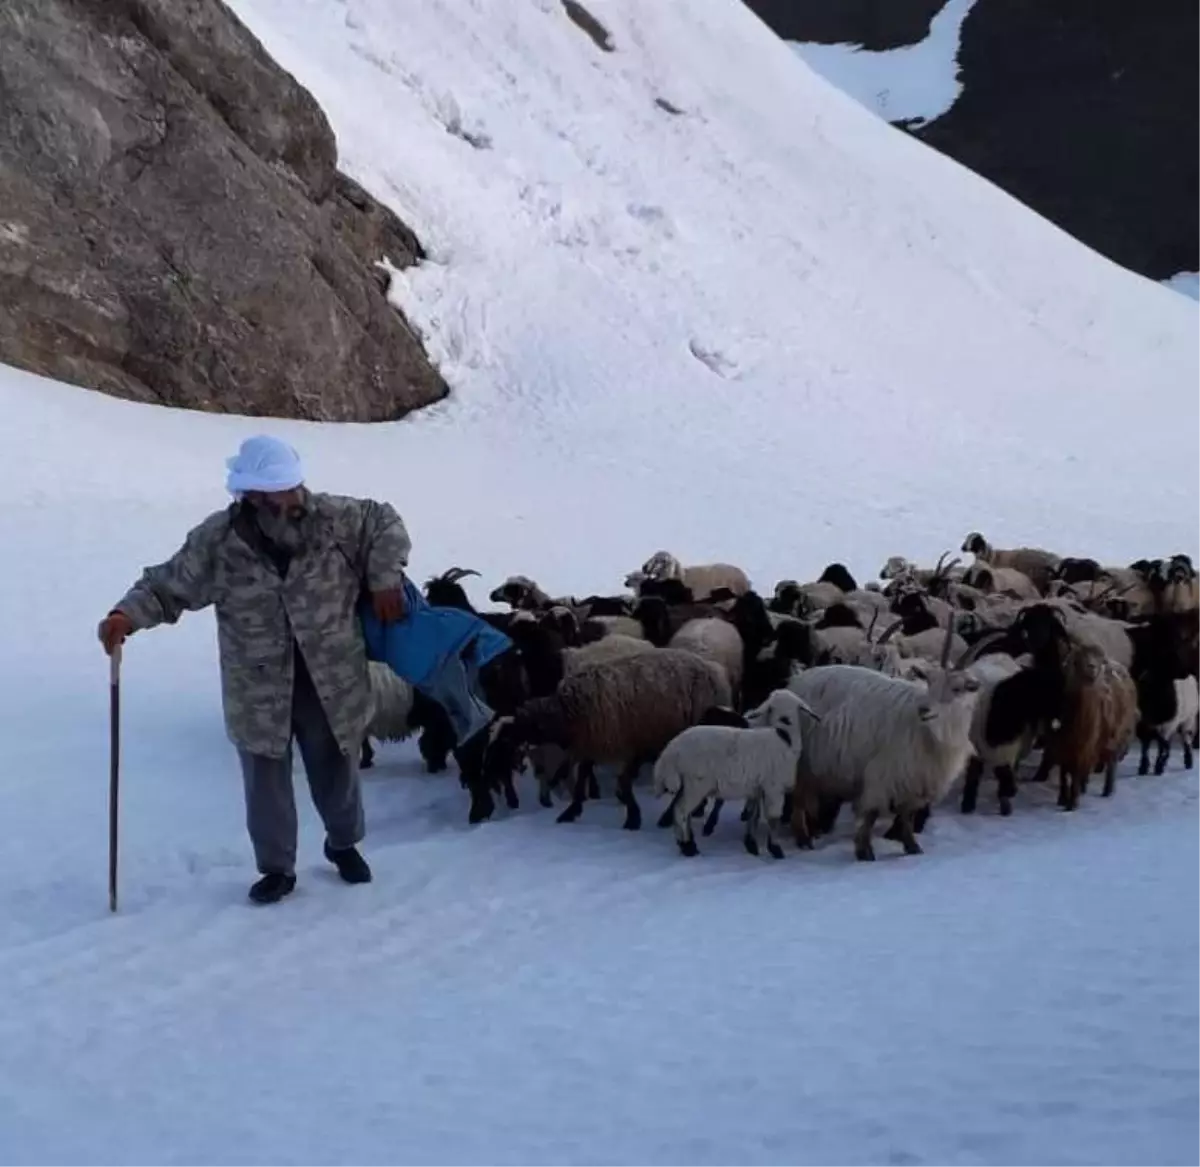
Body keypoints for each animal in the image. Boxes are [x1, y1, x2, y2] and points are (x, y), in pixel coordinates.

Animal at [480, 648, 729, 830]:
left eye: (504, 743)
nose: (487, 771)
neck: (565, 713)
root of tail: (715, 673)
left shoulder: (622, 746)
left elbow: (622, 783)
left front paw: (632, 818)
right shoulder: (591, 745)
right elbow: (583, 776)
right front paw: (571, 811)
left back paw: (669, 818)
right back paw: (694, 810)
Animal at [652, 686, 820, 854]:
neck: (784, 736)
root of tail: (671, 750)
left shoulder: (756, 789)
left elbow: (753, 815)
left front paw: (751, 843)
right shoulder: (774, 788)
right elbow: (773, 818)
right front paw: (775, 849)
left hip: (686, 784)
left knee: (681, 810)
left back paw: (688, 841)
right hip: (696, 784)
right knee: (680, 811)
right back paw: (687, 846)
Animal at [787, 619, 974, 854]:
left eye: (957, 688)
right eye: (930, 683)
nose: (924, 710)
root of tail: (796, 681)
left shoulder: (914, 778)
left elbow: (906, 815)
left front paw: (912, 847)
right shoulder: (884, 773)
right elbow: (872, 813)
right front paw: (865, 851)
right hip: (800, 761)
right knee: (798, 799)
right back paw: (803, 837)